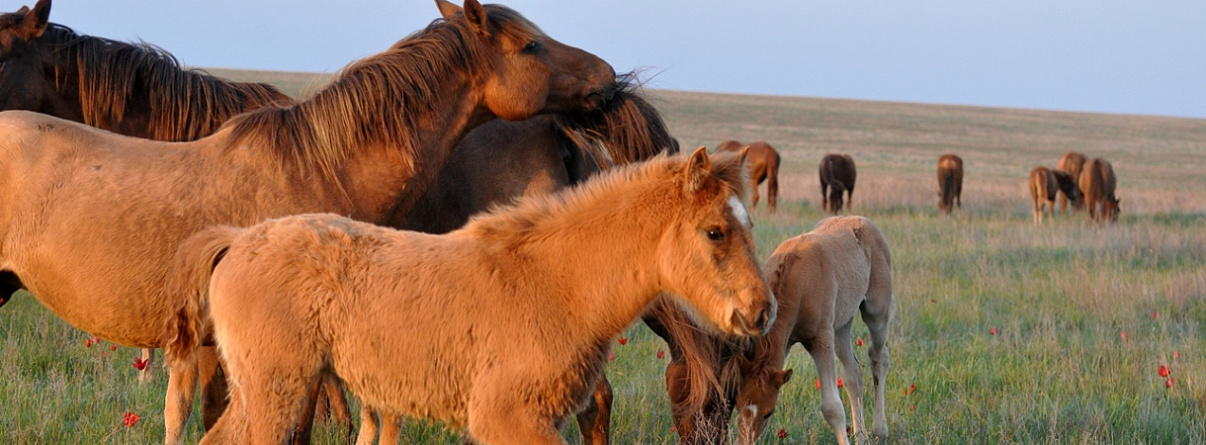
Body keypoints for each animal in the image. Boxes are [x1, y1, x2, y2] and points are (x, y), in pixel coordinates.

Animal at [165, 148, 776, 443]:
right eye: (716, 232)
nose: (761, 312)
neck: (556, 283)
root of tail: (237, 241)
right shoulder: (509, 419)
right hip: (276, 394)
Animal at [723, 214, 897, 443]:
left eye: (769, 412)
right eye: (738, 406)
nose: (745, 442)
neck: (796, 283)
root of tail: (863, 219)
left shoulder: (820, 339)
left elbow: (832, 407)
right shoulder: (785, 342)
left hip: (876, 309)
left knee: (879, 357)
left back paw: (879, 431)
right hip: (841, 325)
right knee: (853, 374)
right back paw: (861, 437)